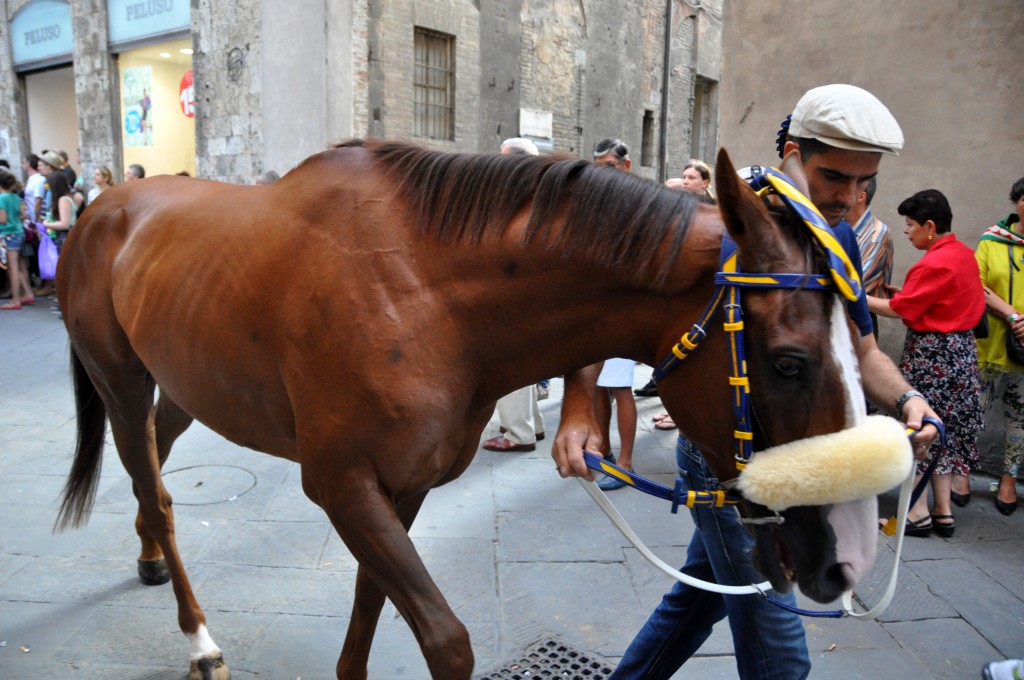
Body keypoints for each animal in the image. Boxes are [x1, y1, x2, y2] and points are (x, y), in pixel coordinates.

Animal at [54, 139, 872, 680]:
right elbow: (445, 639)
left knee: (153, 468)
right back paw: (197, 637)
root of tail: (100, 205)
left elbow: (369, 604)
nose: (844, 557)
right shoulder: (342, 485)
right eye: (789, 362)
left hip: (181, 383)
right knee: (156, 491)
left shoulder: (403, 486)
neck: (420, 292)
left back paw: (148, 555)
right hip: (120, 381)